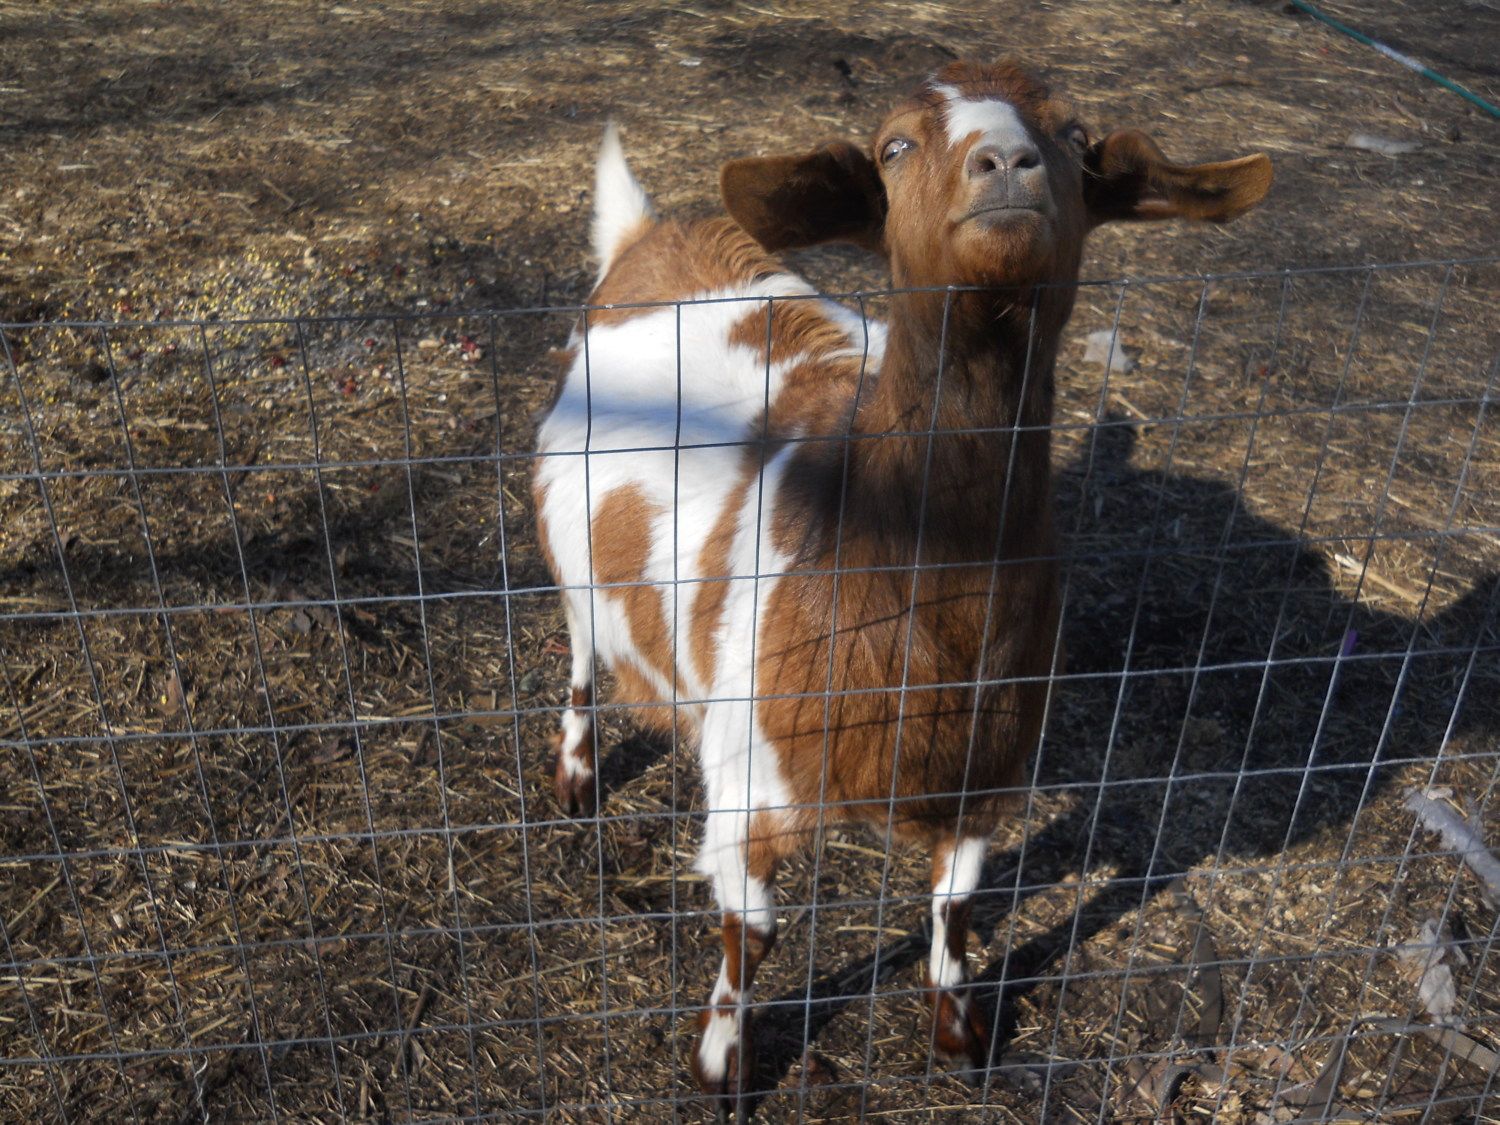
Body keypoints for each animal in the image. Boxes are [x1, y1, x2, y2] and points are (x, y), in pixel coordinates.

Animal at [531, 58, 1271, 1111]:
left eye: (1076, 137)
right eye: (894, 146)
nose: (1006, 162)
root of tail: (653, 237)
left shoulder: (983, 772)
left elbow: (955, 907)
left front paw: (961, 1034)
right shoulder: (749, 775)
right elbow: (751, 932)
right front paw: (721, 1069)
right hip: (576, 566)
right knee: (581, 655)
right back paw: (577, 776)